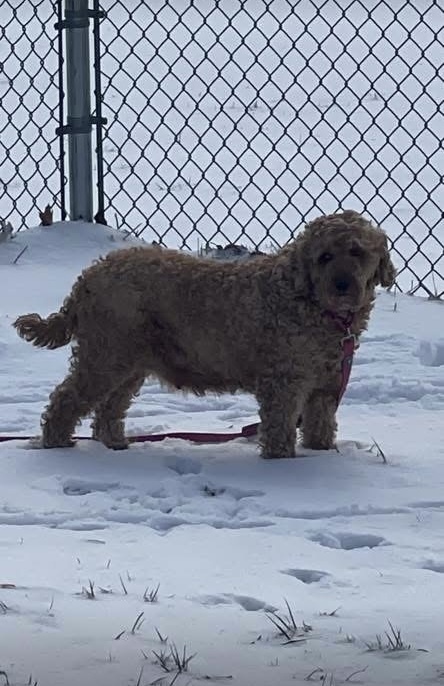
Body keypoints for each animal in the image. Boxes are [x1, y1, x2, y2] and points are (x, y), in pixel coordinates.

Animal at [13, 210, 396, 456]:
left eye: (357, 252)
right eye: (324, 256)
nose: (343, 284)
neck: (313, 303)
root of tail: (88, 278)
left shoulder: (324, 387)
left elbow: (320, 425)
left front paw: (322, 453)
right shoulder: (283, 382)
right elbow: (279, 428)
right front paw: (282, 462)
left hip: (129, 362)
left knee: (108, 409)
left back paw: (116, 445)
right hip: (106, 356)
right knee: (66, 399)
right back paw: (58, 444)